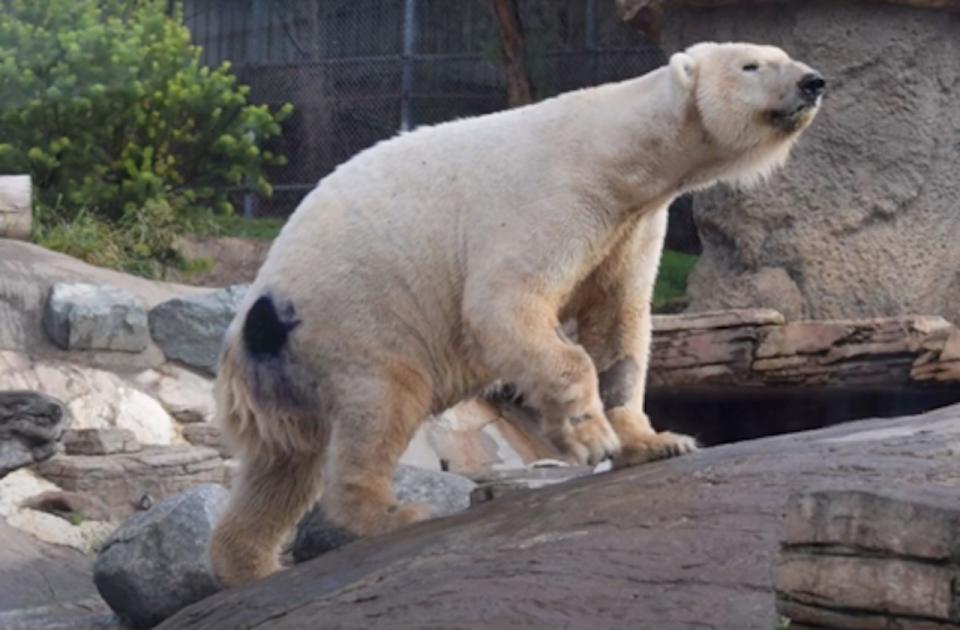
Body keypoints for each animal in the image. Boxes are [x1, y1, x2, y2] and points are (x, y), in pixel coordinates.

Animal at [210, 43, 824, 588]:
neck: (617, 152)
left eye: (781, 55)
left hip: (290, 375)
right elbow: (505, 304)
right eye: (752, 65)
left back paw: (249, 563)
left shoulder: (631, 225)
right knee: (381, 407)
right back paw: (394, 514)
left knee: (280, 469)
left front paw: (657, 441)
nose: (812, 81)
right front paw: (589, 439)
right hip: (354, 322)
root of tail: (255, 323)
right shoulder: (553, 200)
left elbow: (618, 325)